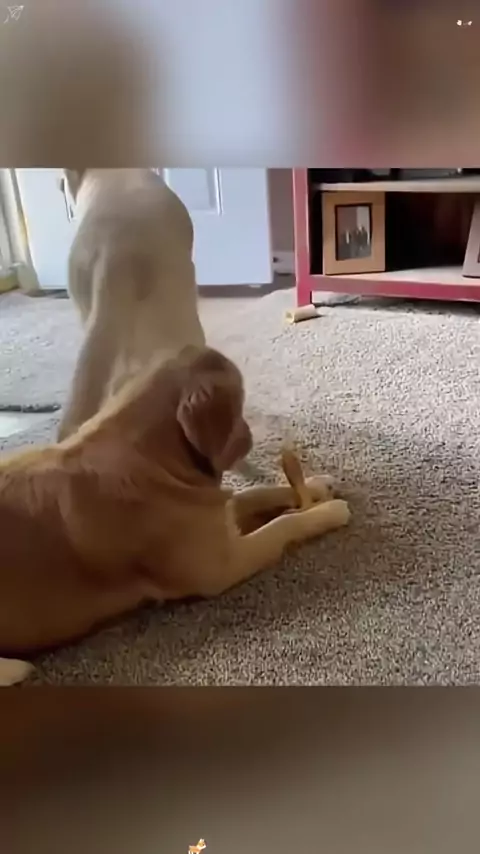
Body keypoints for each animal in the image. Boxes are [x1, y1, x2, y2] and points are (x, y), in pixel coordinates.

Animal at [0, 346, 350, 686]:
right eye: (239, 397)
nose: (250, 432)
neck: (151, 458)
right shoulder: (224, 566)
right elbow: (285, 522)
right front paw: (329, 512)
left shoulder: (215, 517)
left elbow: (257, 494)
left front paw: (316, 485)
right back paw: (14, 670)